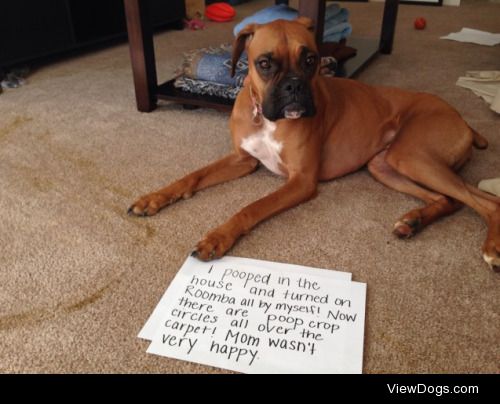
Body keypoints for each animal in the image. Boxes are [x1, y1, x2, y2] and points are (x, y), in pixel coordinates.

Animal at [129, 19, 500, 272]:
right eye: (265, 63)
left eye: (310, 60)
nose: (294, 86)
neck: (265, 117)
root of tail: (462, 118)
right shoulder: (242, 160)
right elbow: (191, 176)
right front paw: (153, 198)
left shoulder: (301, 181)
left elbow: (251, 207)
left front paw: (217, 237)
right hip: (385, 166)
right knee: (449, 199)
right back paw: (414, 221)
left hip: (410, 156)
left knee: (486, 201)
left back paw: (491, 248)